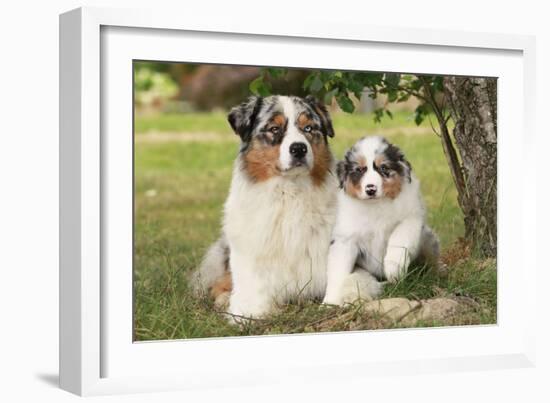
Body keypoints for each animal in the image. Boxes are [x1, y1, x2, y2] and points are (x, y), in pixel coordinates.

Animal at [192, 94, 378, 322]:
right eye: (274, 128)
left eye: (308, 128)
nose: (299, 148)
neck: (290, 194)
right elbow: (249, 294)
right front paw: (250, 313)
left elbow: (348, 281)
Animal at [322, 136, 442, 306]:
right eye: (359, 170)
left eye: (383, 167)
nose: (370, 189)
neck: (376, 205)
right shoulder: (345, 239)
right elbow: (338, 270)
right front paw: (330, 302)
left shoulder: (411, 218)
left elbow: (399, 239)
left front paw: (393, 269)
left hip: (428, 240)